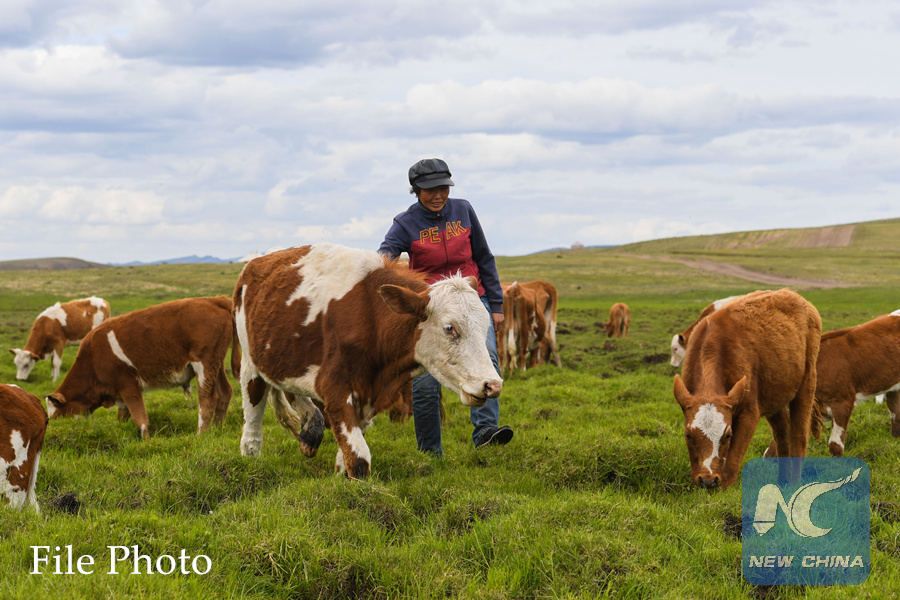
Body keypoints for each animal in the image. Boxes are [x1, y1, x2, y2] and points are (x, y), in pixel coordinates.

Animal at [45, 296, 240, 440]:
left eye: (56, 415)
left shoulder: (128, 384)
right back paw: (218, 428)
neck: (92, 359)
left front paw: (146, 440)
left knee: (207, 399)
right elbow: (123, 415)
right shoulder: (119, 391)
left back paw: (200, 434)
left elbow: (140, 417)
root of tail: (212, 300)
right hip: (216, 365)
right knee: (225, 392)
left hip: (204, 365)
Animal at [233, 243, 502, 480]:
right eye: (449, 328)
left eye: (486, 325)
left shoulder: (367, 394)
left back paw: (311, 430)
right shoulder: (336, 390)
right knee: (253, 414)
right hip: (250, 365)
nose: (493, 385)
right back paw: (251, 455)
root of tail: (254, 264)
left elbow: (349, 454)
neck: (371, 315)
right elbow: (360, 459)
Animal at [673, 289, 821, 490]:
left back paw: (794, 484)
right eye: (688, 435)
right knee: (782, 435)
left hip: (807, 384)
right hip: (775, 397)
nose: (708, 480)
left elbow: (731, 464)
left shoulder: (749, 413)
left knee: (798, 436)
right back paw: (783, 482)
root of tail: (793, 294)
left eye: (728, 436)